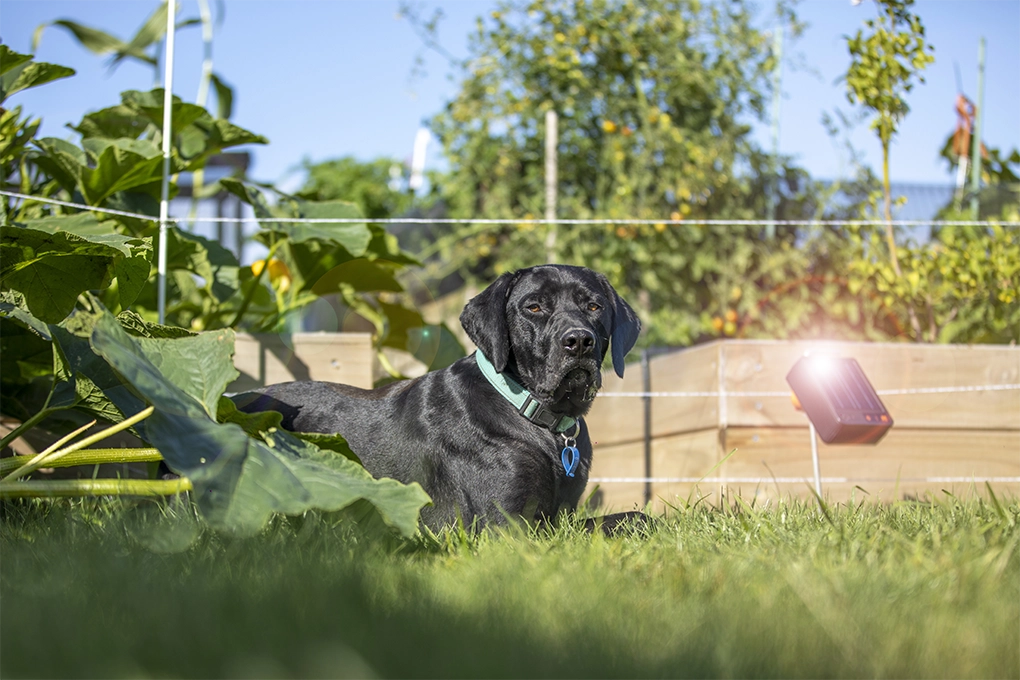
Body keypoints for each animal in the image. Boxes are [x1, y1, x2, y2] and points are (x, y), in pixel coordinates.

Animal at [234, 265, 640, 530]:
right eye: (534, 307)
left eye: (594, 307)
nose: (579, 340)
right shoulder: (508, 526)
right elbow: (625, 521)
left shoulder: (563, 510)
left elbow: (631, 516)